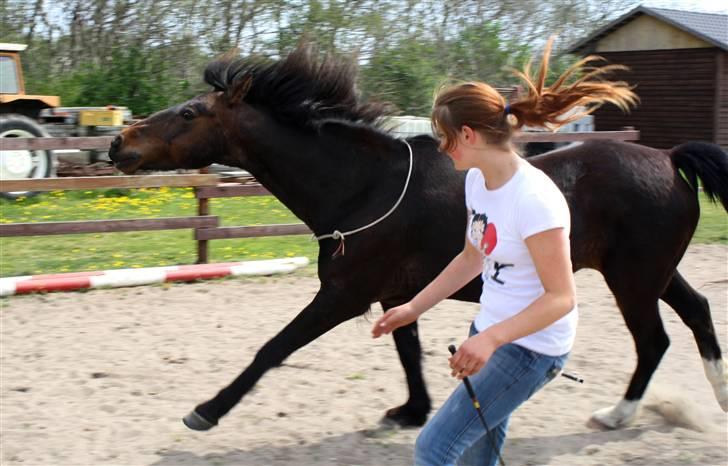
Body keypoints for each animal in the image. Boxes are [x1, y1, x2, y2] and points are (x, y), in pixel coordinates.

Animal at [108, 45, 728, 432]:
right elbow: (407, 349)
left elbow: (273, 349)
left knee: (655, 340)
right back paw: (717, 400)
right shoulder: (392, 294)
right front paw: (413, 411)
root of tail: (669, 158)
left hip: (633, 278)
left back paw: (617, 415)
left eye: (190, 112)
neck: (364, 186)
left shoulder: (344, 296)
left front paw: (207, 410)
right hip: (654, 272)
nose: (119, 144)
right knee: (697, 311)